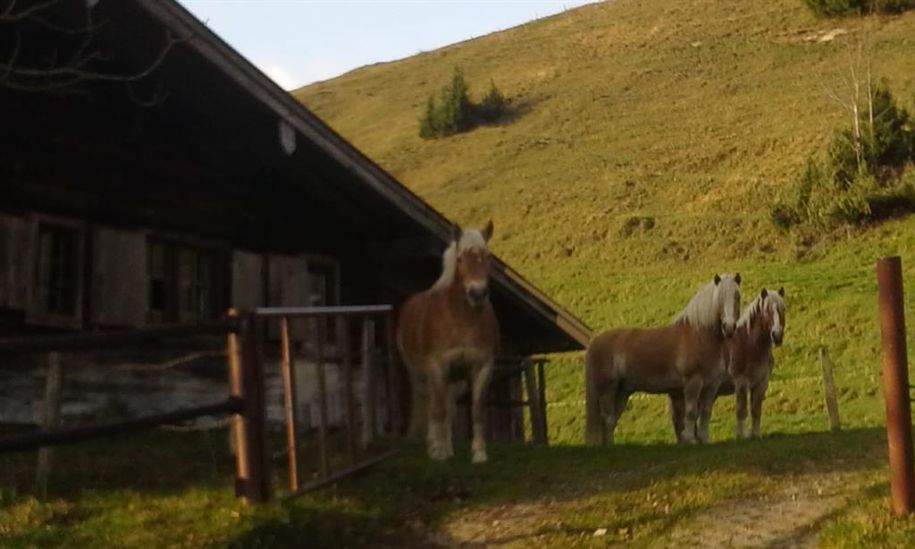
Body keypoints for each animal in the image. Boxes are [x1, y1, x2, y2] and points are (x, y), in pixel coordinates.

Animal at [396, 220, 500, 460]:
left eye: (487, 256)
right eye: (461, 258)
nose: (477, 293)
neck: (460, 319)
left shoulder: (482, 366)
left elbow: (476, 410)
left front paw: (479, 453)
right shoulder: (437, 367)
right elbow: (438, 410)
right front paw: (439, 453)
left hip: (454, 379)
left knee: (448, 406)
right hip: (420, 375)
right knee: (431, 404)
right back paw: (436, 446)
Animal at [588, 272, 744, 444]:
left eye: (737, 296)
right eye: (720, 298)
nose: (728, 327)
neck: (700, 335)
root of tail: (595, 342)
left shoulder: (712, 385)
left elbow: (705, 413)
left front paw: (703, 439)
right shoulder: (693, 382)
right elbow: (690, 413)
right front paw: (690, 439)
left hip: (623, 391)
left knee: (611, 421)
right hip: (608, 389)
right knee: (608, 420)